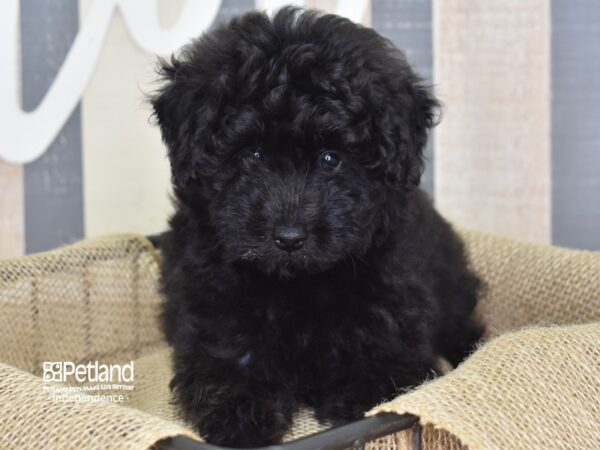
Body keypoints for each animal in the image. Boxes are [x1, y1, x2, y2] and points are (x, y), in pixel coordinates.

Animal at [151, 7, 482, 446]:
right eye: (252, 155)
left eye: (330, 158)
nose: (289, 238)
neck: (297, 283)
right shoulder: (213, 307)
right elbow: (226, 361)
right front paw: (240, 412)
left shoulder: (391, 306)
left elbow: (384, 367)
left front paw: (360, 392)